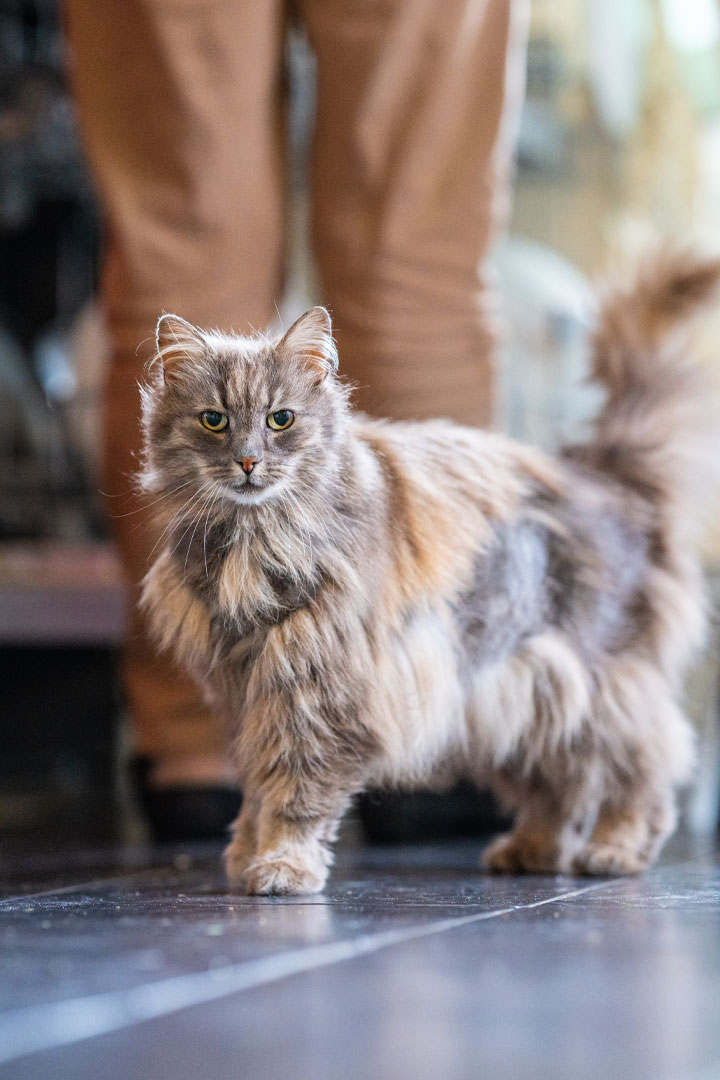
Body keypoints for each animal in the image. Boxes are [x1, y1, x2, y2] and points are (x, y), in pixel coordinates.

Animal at [139, 252, 720, 894]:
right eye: (214, 421)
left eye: (281, 419)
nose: (247, 461)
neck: (254, 539)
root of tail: (603, 476)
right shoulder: (251, 687)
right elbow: (257, 788)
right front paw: (246, 854)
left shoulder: (322, 690)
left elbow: (295, 792)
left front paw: (283, 865)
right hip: (514, 691)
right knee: (560, 785)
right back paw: (532, 850)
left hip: (591, 680)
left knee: (641, 770)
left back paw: (615, 850)